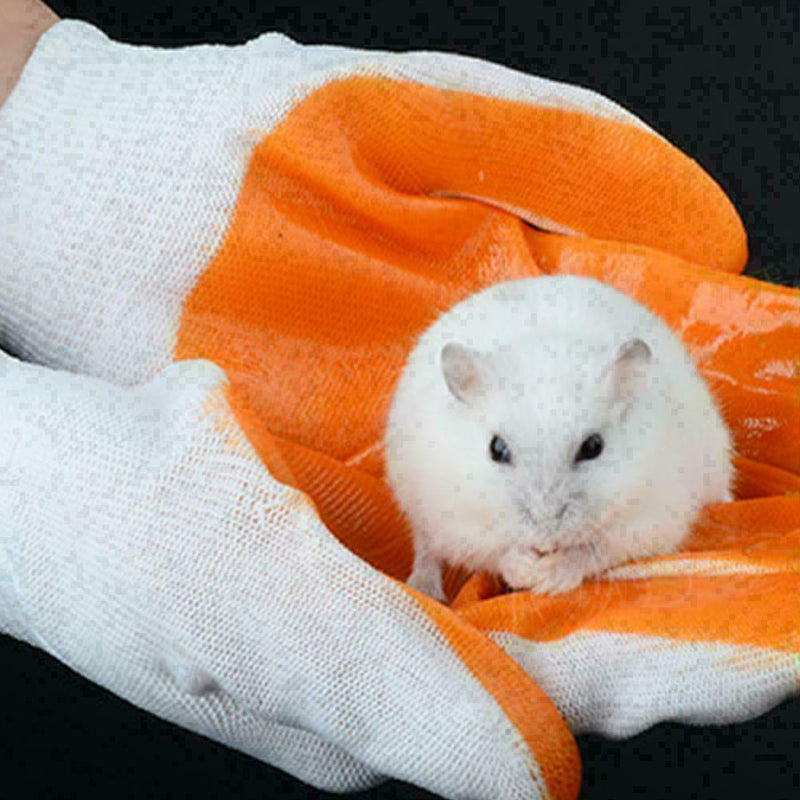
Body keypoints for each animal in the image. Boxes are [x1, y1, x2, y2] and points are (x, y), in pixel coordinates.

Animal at [384, 276, 733, 600]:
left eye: (593, 447)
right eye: (496, 449)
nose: (545, 537)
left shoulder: (648, 519)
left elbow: (593, 551)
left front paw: (550, 577)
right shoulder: (456, 520)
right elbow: (498, 551)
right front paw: (528, 570)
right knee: (426, 550)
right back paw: (423, 589)